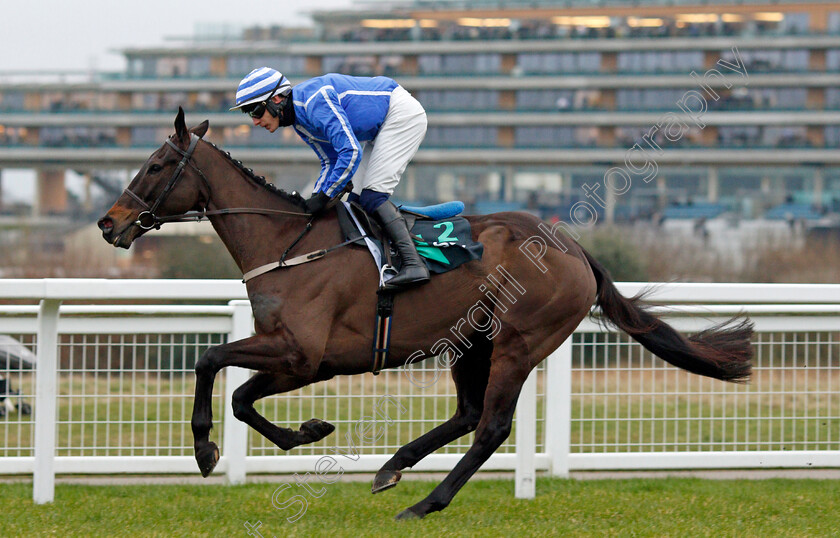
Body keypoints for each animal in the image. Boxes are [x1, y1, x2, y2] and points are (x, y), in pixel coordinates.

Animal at [98, 108, 756, 516]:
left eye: (155, 166)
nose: (108, 223)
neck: (288, 244)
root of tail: (571, 247)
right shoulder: (304, 362)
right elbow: (240, 396)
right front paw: (309, 431)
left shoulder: (303, 354)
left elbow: (211, 361)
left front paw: (205, 451)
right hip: (472, 341)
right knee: (467, 413)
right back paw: (392, 467)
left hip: (519, 342)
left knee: (490, 425)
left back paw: (425, 501)